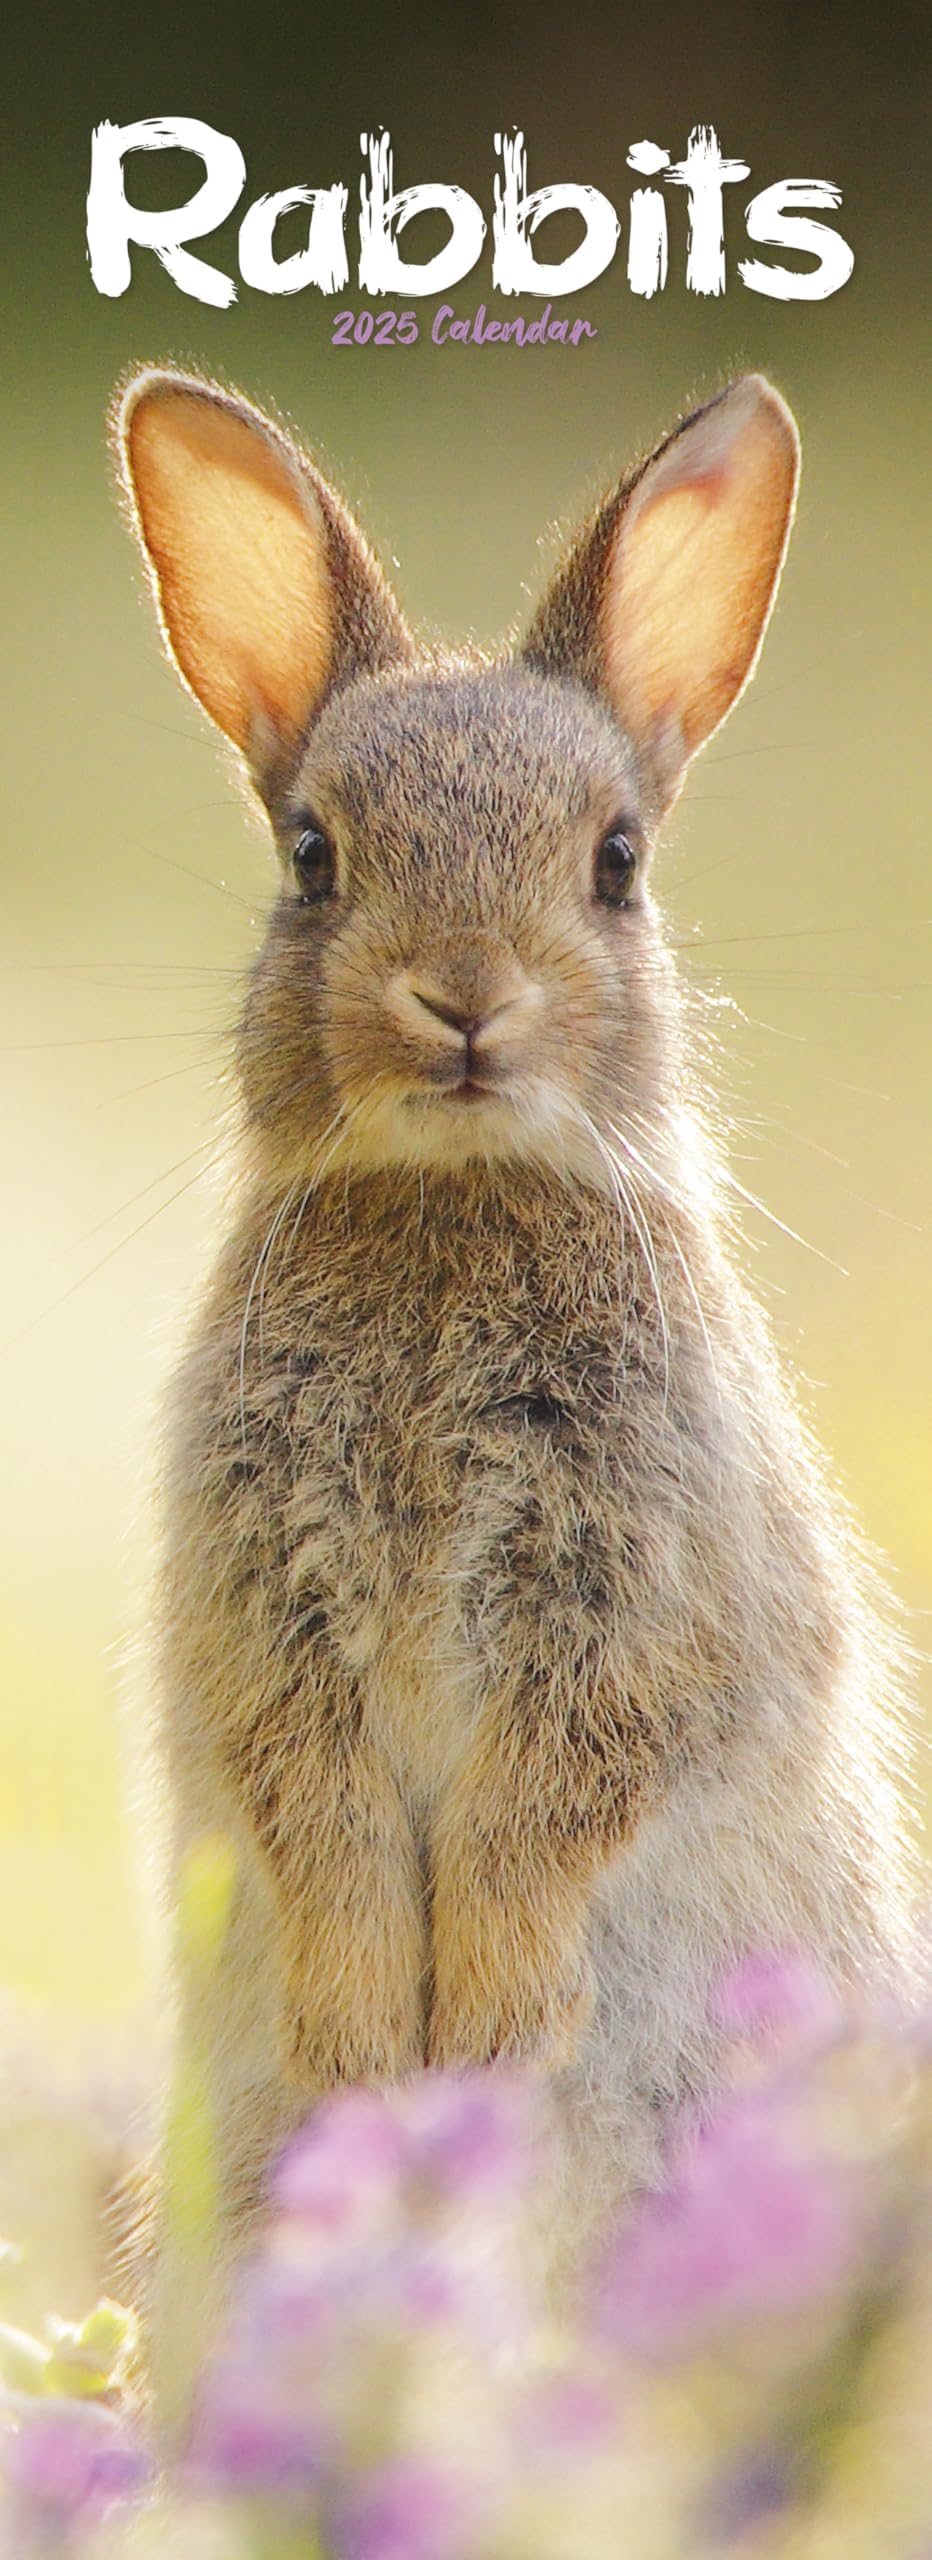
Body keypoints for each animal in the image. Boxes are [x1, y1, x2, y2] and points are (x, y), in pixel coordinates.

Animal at [114, 365, 917, 2398]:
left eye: (616, 864)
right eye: (313, 859)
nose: (460, 999)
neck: (452, 1195)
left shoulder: (635, 1598)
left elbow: (556, 1799)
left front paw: (475, 2028)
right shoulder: (265, 1615)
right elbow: (312, 1800)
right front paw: (362, 2033)